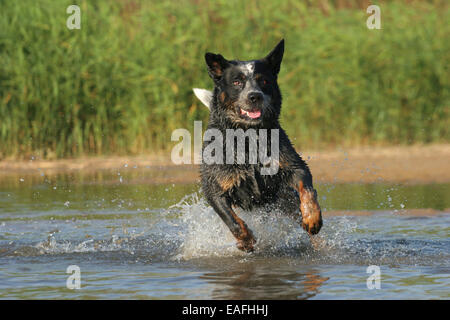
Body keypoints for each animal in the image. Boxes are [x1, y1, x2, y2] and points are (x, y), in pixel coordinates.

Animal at [195, 39, 322, 252]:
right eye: (237, 82)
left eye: (263, 81)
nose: (254, 96)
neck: (248, 138)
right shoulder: (215, 187)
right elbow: (232, 221)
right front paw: (246, 241)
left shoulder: (294, 166)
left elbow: (306, 189)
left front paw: (312, 218)